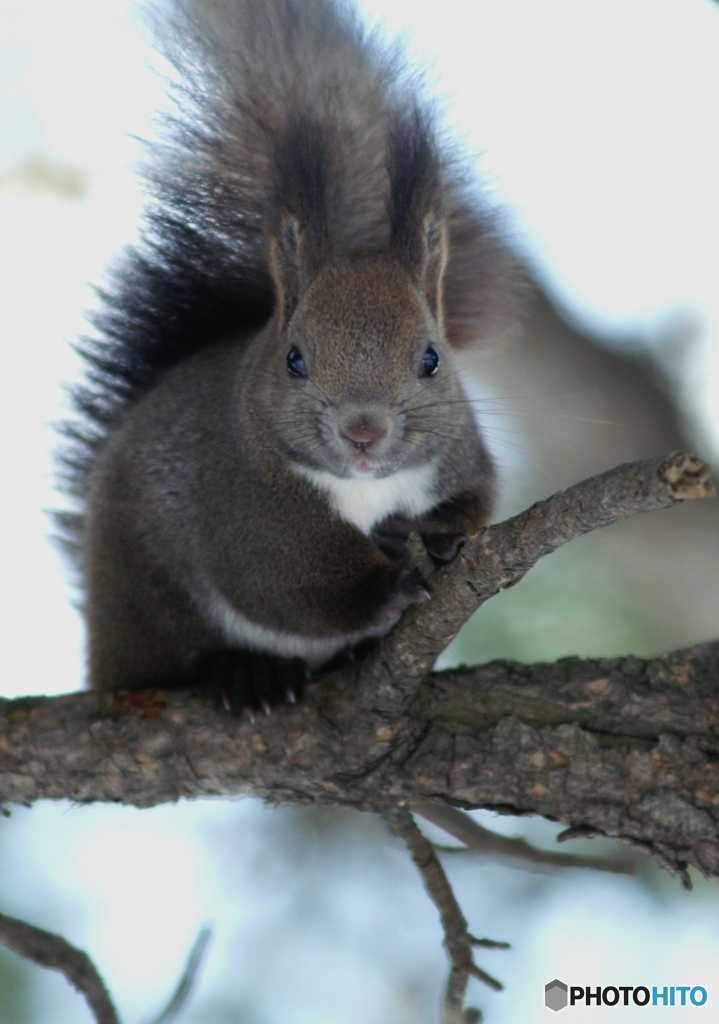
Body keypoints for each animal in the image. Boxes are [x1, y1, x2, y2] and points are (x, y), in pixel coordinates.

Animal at [59, 0, 516, 712]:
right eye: (295, 359)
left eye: (432, 359)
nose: (363, 431)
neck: (364, 488)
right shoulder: (240, 497)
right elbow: (286, 580)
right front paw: (385, 586)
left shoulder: (461, 454)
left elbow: (480, 498)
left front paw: (438, 533)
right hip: (146, 597)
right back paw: (247, 672)